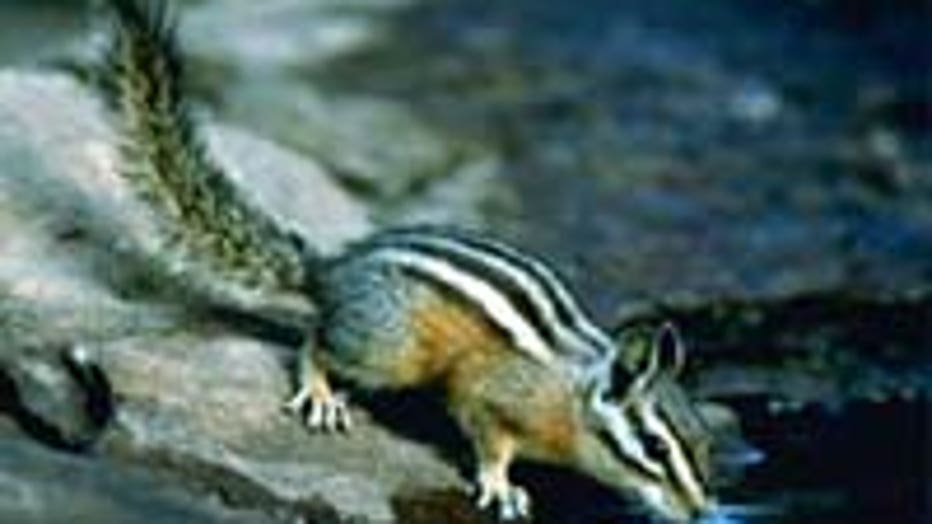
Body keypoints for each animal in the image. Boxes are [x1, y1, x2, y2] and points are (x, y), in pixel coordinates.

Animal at [97, 1, 719, 521]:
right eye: (655, 447)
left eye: (705, 442)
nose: (701, 512)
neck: (571, 393)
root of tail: (333, 271)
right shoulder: (490, 398)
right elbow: (490, 440)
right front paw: (501, 484)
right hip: (389, 352)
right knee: (315, 341)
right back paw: (321, 393)